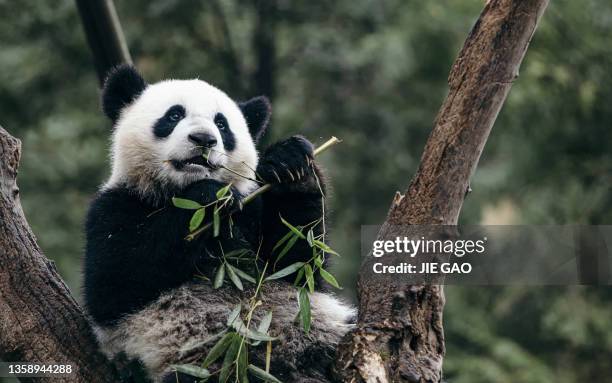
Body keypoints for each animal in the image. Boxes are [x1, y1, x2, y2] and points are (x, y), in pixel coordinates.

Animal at [83, 64, 356, 382]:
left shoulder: (250, 211)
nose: (204, 139)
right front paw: (209, 196)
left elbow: (297, 263)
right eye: (174, 115)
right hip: (200, 366)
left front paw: (290, 164)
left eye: (222, 124)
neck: (177, 190)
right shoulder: (114, 207)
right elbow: (115, 281)